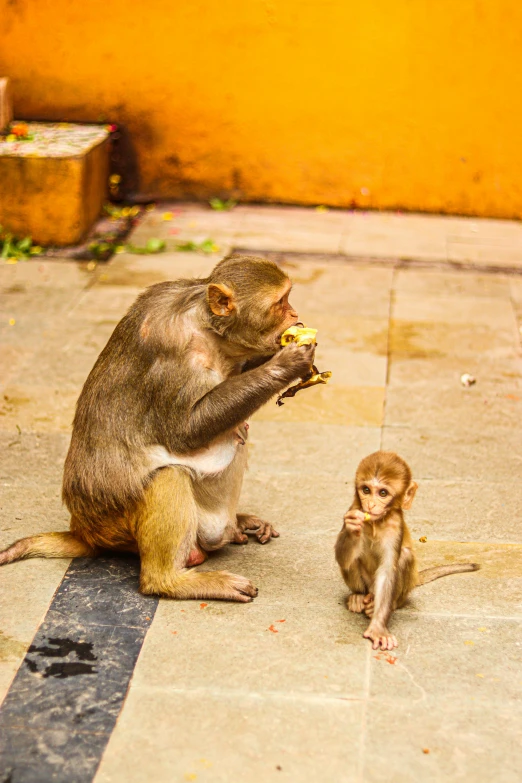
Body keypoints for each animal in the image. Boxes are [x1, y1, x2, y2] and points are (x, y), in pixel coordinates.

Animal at [0, 254, 310, 604]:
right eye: (281, 302)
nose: (295, 314)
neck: (209, 330)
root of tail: (82, 529)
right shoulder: (174, 351)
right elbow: (186, 432)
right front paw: (286, 364)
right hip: (115, 526)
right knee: (168, 477)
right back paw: (171, 581)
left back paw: (238, 523)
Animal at [336, 450, 478, 652]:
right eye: (366, 490)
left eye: (383, 493)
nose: (370, 505)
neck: (376, 523)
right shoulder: (353, 508)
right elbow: (344, 559)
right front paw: (352, 527)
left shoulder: (395, 527)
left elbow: (388, 570)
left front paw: (378, 627)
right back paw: (358, 597)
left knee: (405, 557)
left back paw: (389, 605)